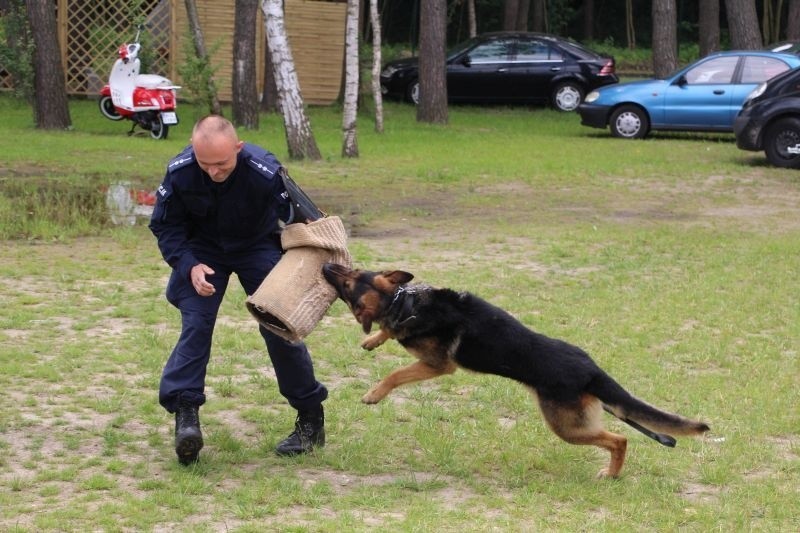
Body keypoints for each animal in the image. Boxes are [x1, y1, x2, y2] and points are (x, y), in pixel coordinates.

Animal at [322, 264, 708, 476]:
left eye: (349, 280)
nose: (327, 267)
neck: (404, 303)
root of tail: (590, 368)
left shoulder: (437, 365)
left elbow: (396, 375)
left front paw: (374, 393)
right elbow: (386, 332)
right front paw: (374, 340)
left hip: (566, 427)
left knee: (620, 438)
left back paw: (611, 474)